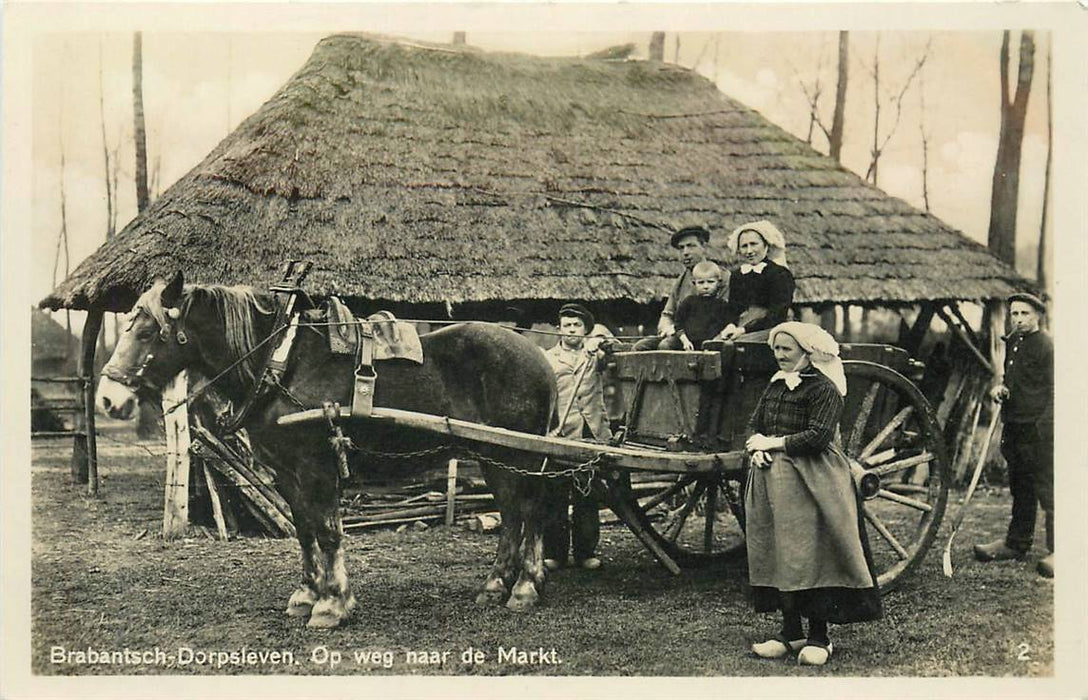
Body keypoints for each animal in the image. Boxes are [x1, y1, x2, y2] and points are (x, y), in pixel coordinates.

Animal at [96, 271, 557, 627]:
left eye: (147, 331)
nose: (107, 399)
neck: (279, 362)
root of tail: (539, 356)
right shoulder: (286, 472)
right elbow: (304, 530)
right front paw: (306, 595)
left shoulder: (317, 468)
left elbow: (329, 531)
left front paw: (332, 604)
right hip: (492, 455)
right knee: (513, 515)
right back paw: (496, 586)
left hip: (517, 455)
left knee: (532, 511)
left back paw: (524, 587)